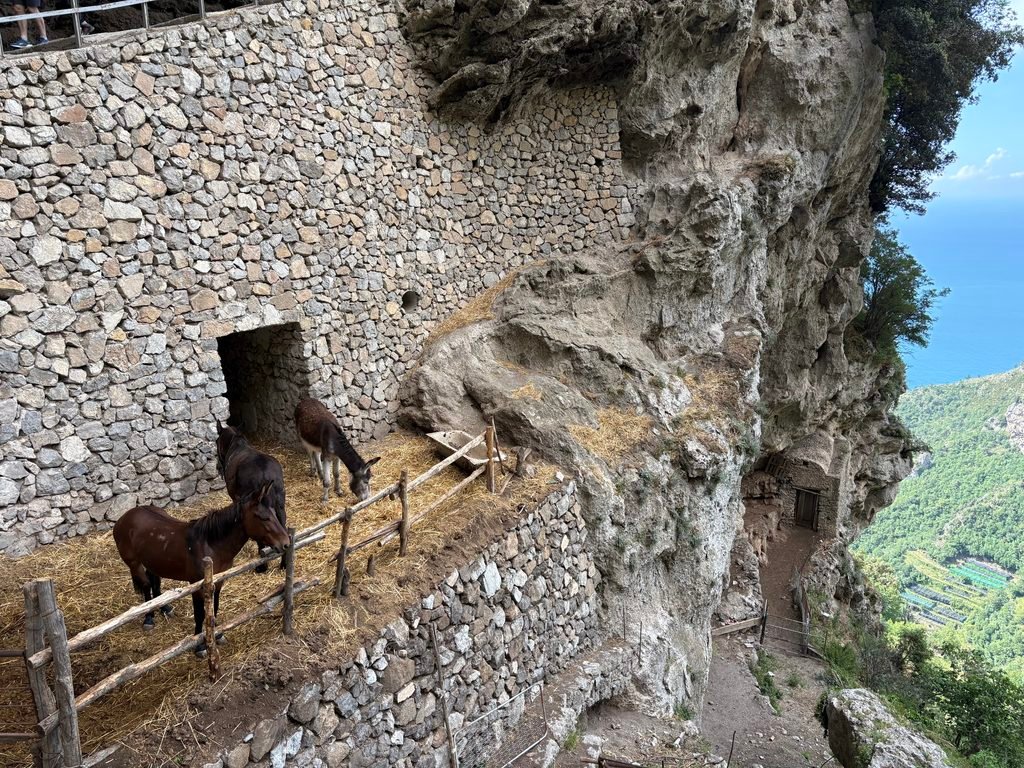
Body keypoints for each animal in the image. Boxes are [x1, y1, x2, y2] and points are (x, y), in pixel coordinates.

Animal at [112, 484, 290, 655]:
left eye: (274, 514)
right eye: (263, 517)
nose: (286, 543)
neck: (210, 545)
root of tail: (125, 517)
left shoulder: (218, 582)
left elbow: (214, 609)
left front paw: (217, 634)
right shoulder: (197, 586)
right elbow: (199, 614)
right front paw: (199, 645)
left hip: (153, 561)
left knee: (155, 584)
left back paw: (165, 608)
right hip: (134, 563)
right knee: (146, 585)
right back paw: (149, 618)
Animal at [215, 422, 286, 570]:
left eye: (216, 441)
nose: (218, 467)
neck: (236, 444)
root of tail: (267, 474)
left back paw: (262, 566)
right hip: (280, 506)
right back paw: (284, 564)